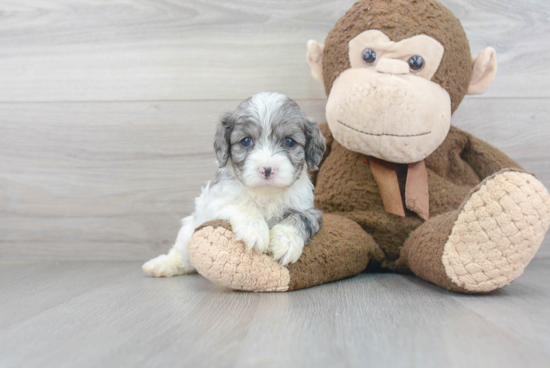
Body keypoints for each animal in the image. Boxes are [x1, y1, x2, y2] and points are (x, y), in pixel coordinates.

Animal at [143, 91, 328, 276]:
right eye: (246, 141)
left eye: (289, 141)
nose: (267, 169)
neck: (265, 194)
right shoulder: (213, 201)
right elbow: (243, 205)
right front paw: (254, 230)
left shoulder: (309, 209)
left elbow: (298, 219)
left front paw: (286, 243)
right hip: (187, 231)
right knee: (182, 256)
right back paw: (162, 265)